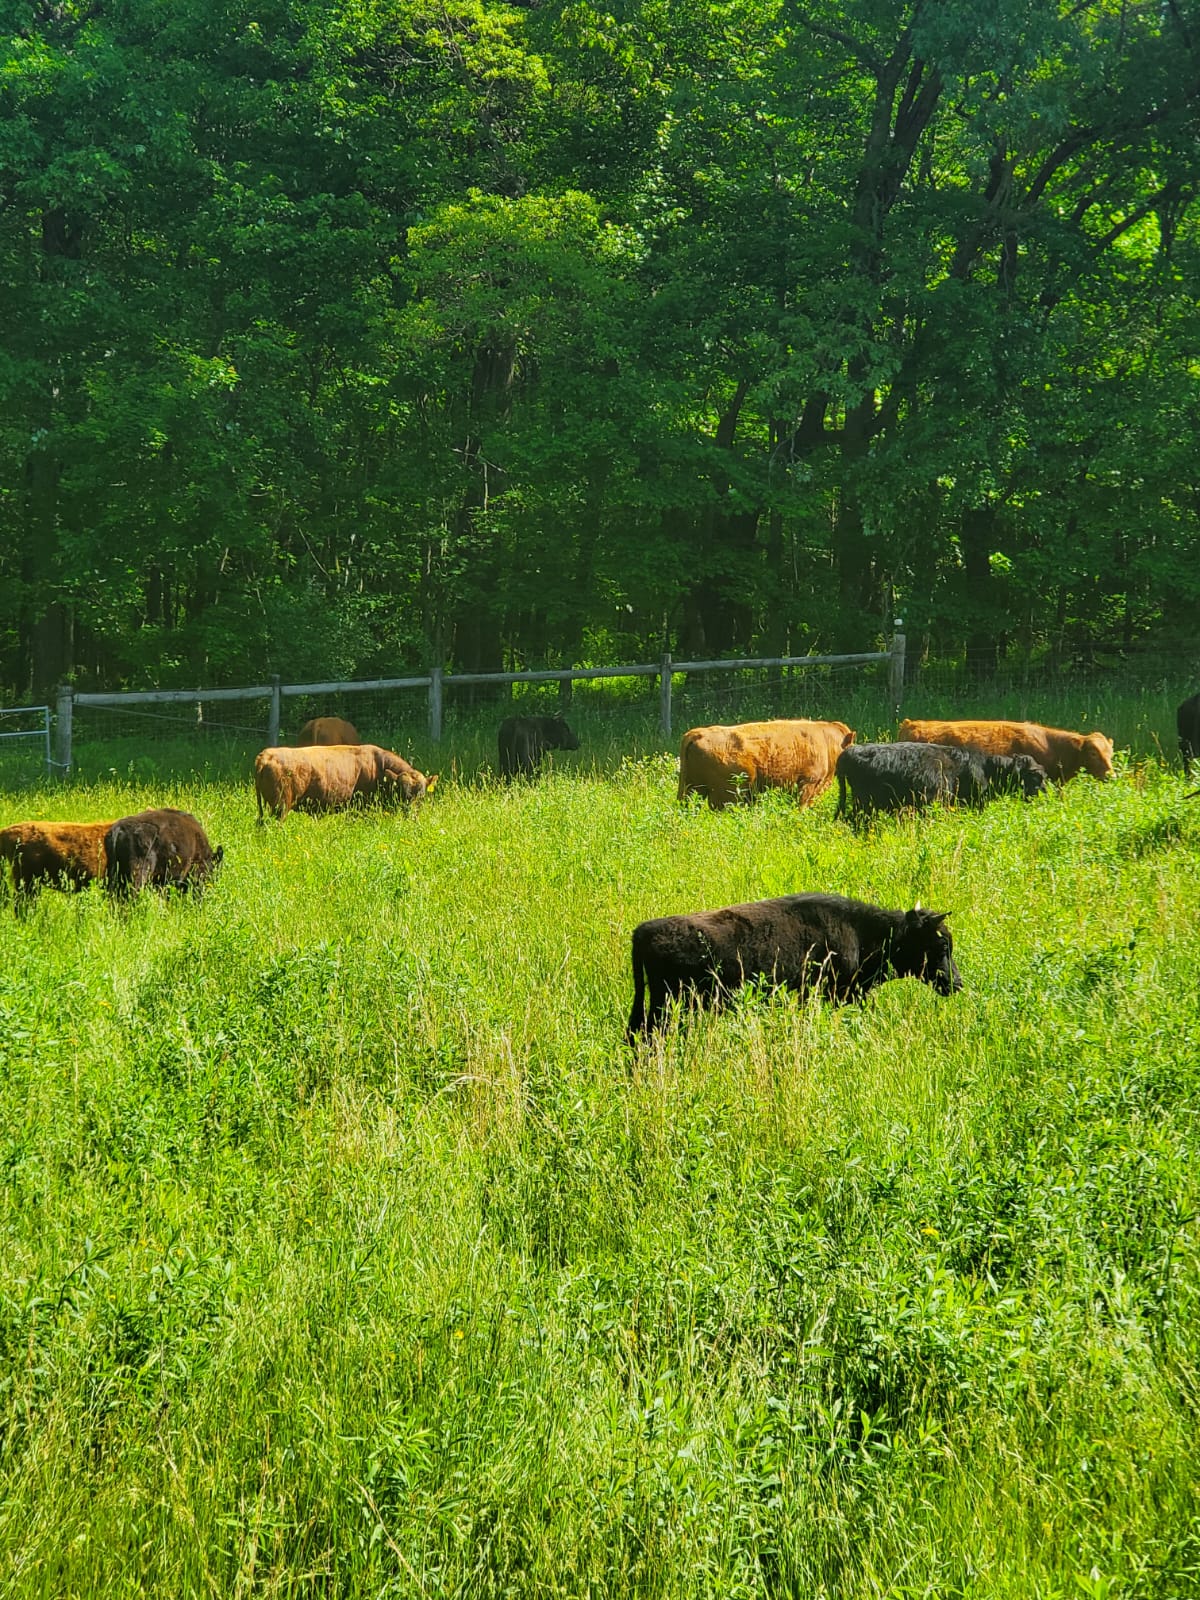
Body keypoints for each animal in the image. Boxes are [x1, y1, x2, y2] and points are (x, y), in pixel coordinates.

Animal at [254, 743, 437, 821]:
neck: (378, 766)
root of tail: (266, 755)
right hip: (281, 807)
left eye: (421, 796)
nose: (412, 814)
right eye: (402, 793)